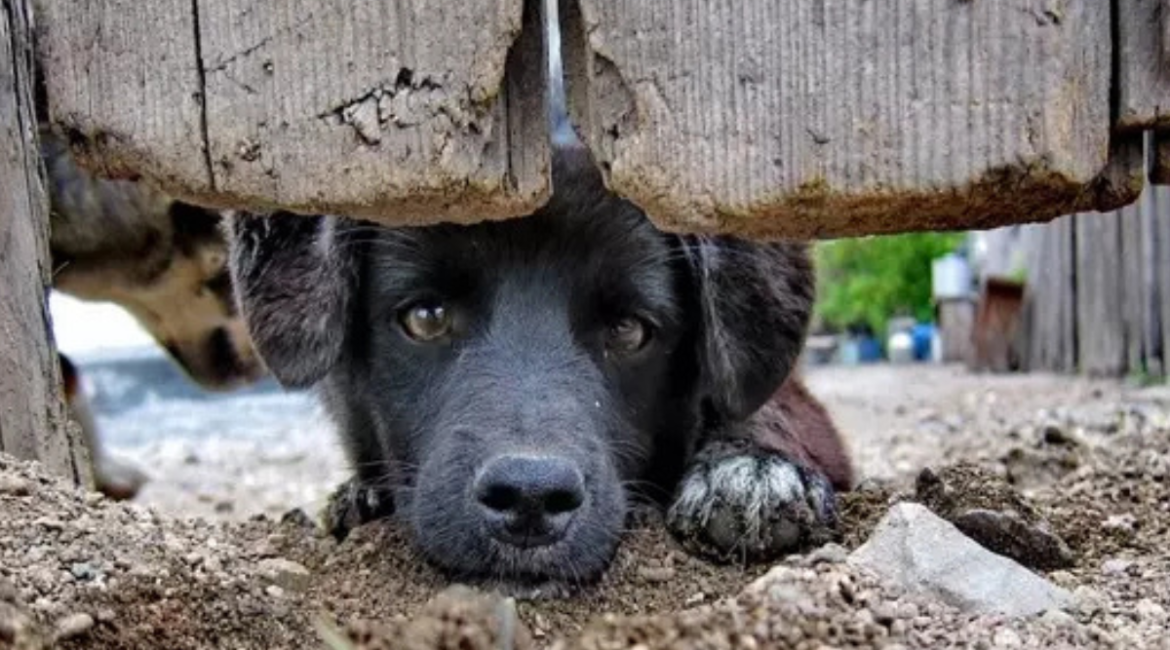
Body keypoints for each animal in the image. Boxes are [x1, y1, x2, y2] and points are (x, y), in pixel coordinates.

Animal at [225, 144, 851, 586]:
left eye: (629, 330)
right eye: (425, 317)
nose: (530, 500)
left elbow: (765, 410)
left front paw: (749, 470)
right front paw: (361, 497)